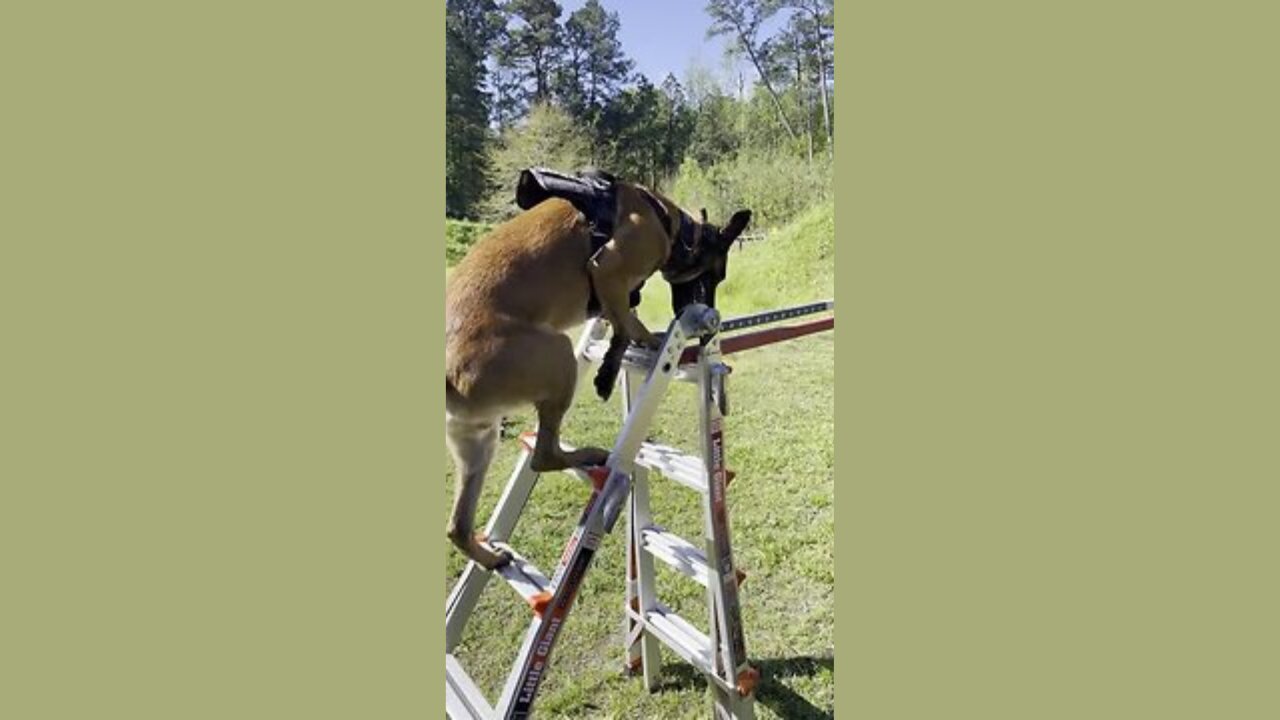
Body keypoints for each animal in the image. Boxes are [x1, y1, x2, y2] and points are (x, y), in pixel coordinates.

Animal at [448, 169, 747, 566]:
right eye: (717, 276)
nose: (712, 318)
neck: (673, 225)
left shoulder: (613, 290)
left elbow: (624, 320)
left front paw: (620, 359)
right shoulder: (607, 268)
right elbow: (627, 323)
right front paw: (630, 354)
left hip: (477, 441)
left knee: (457, 527)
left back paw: (489, 557)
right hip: (558, 355)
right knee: (543, 455)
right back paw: (587, 455)